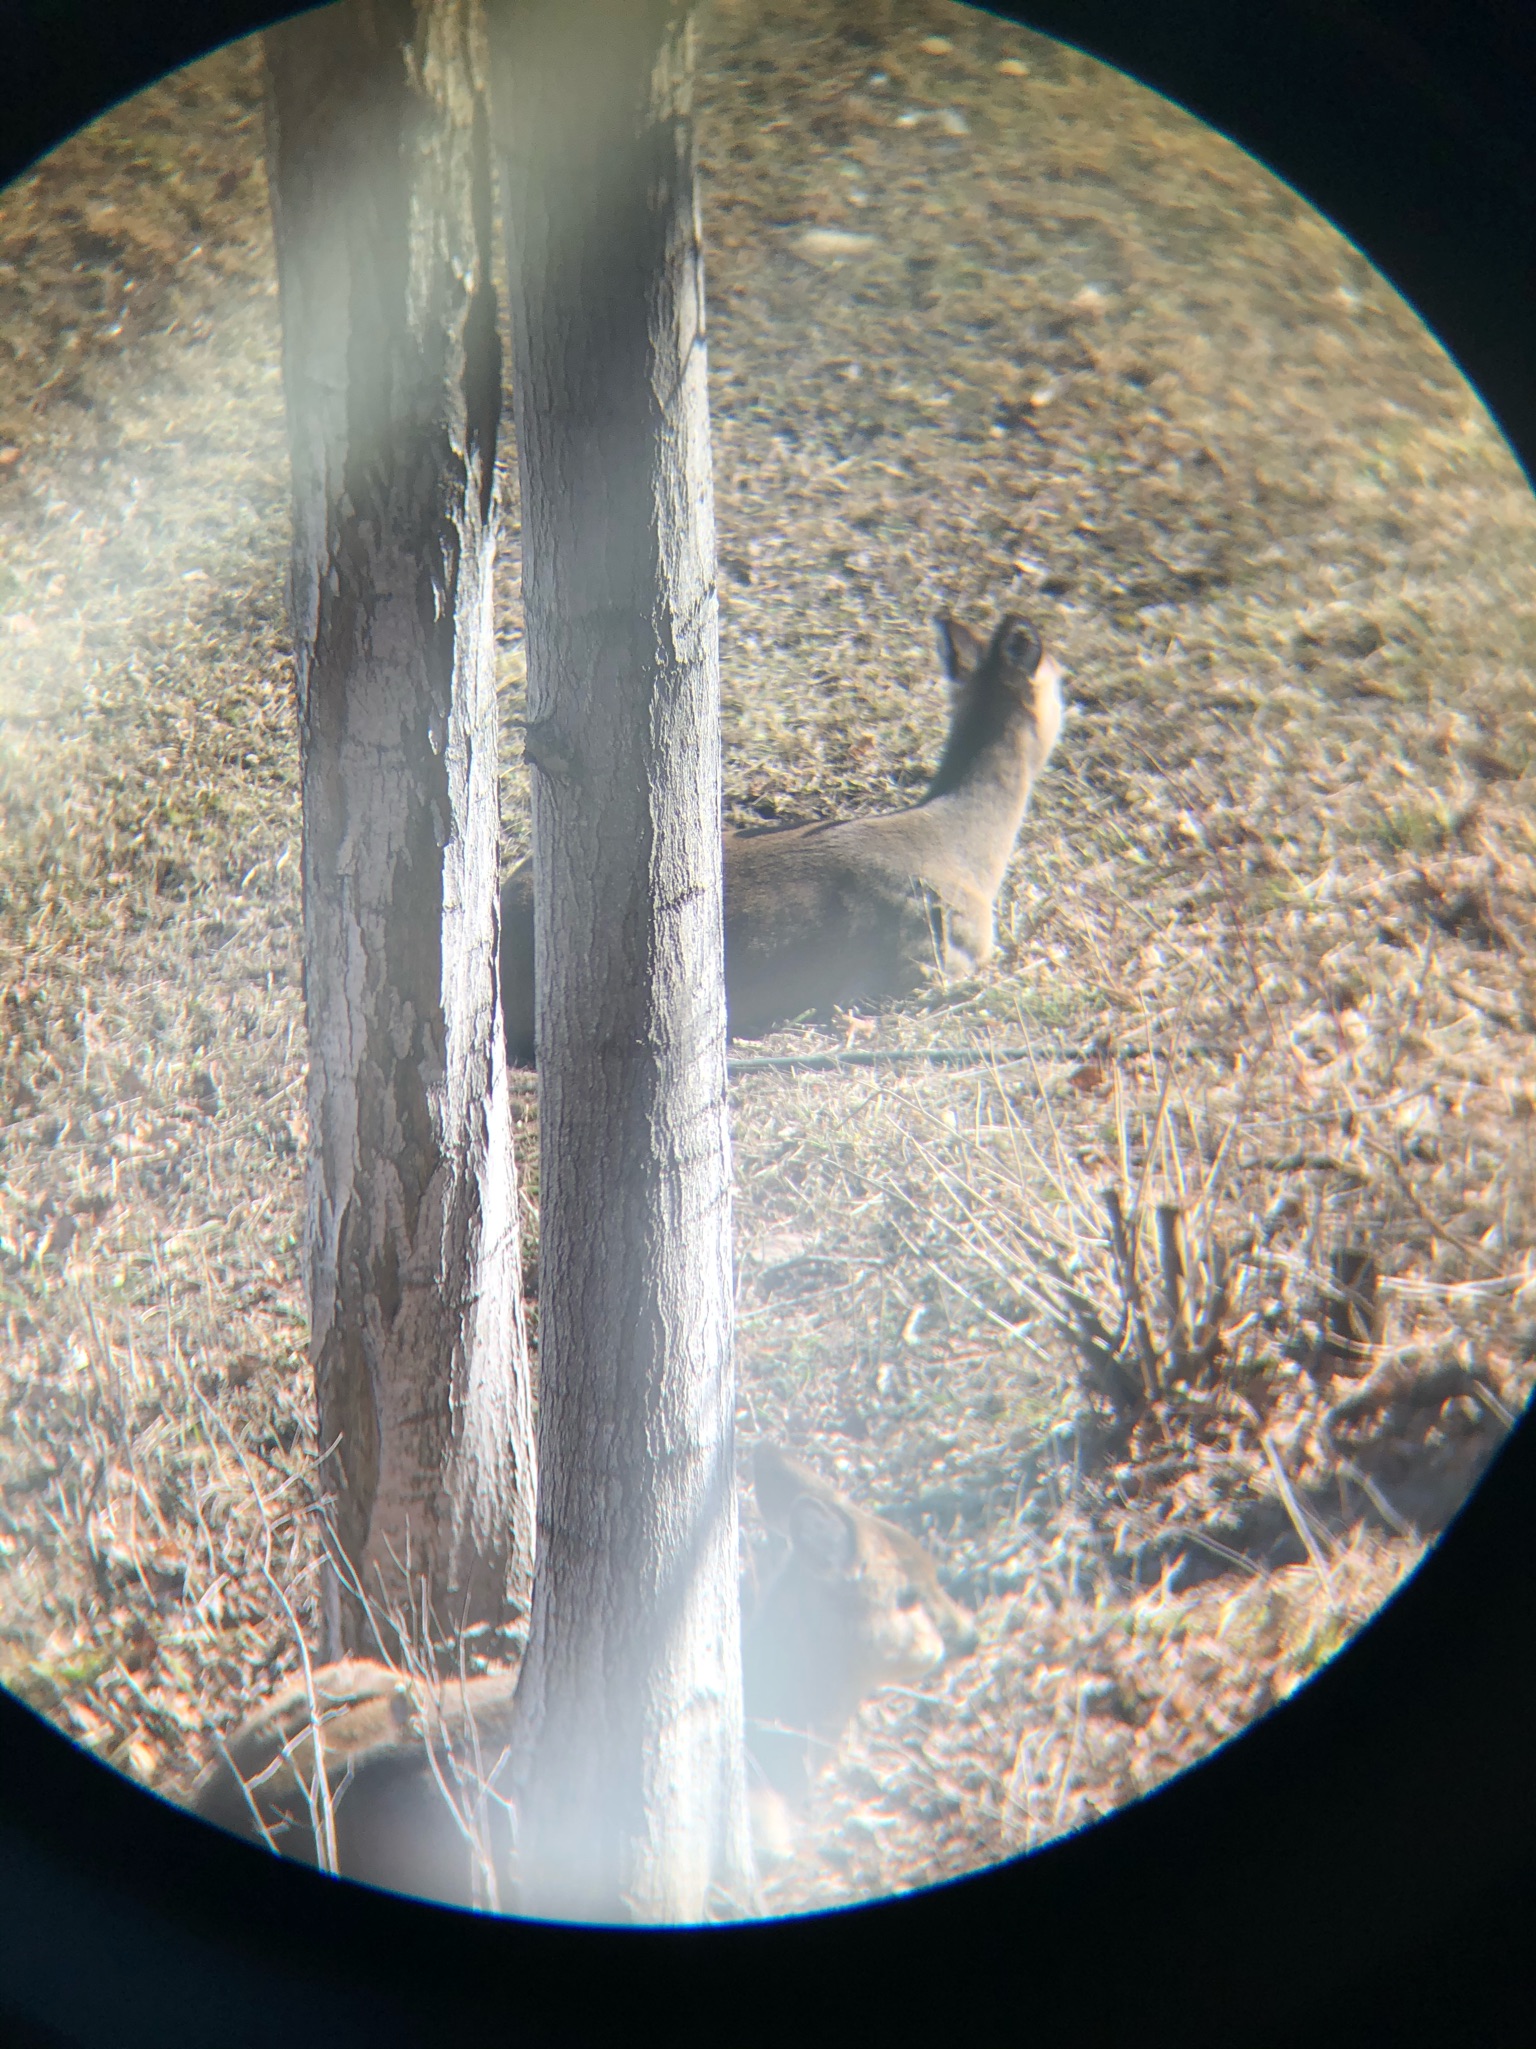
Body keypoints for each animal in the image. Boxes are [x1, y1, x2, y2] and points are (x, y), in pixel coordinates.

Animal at [189, 1446, 978, 1904]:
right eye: (908, 1596)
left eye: (935, 1573)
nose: (967, 1630)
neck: (784, 1733)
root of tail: (221, 1796)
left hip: (343, 1677)